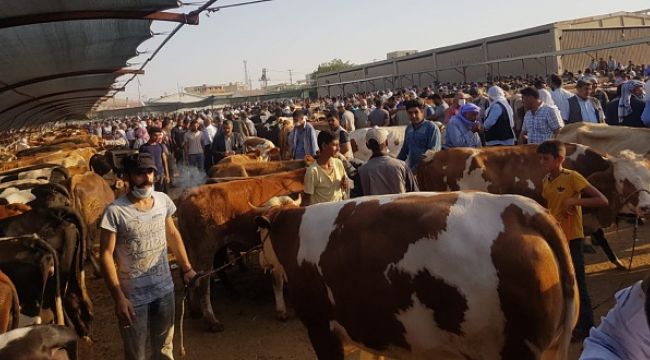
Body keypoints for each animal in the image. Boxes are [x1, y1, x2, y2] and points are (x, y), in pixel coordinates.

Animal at [176, 167, 306, 330]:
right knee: (204, 283)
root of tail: (187, 195)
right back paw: (212, 321)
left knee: (188, 274)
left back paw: (196, 310)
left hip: (193, 248)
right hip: (204, 251)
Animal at [416, 143, 648, 270]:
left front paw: (617, 262)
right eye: (623, 181)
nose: (647, 206)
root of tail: (432, 156)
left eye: (647, 176)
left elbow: (600, 236)